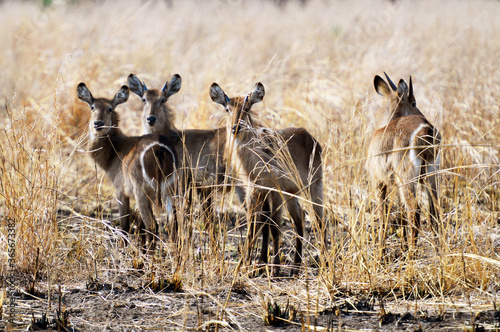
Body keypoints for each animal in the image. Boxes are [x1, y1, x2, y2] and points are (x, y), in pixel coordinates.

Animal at [77, 82, 179, 249]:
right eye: (92, 107)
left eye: (110, 108)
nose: (98, 123)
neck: (116, 150)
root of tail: (159, 148)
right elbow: (140, 227)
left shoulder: (120, 191)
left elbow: (124, 225)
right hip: (170, 191)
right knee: (173, 224)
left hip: (142, 191)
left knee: (153, 225)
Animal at [127, 73, 244, 233]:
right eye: (144, 99)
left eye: (163, 99)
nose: (151, 118)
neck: (171, 138)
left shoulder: (179, 185)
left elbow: (178, 219)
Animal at [208, 81, 322, 274]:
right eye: (227, 109)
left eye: (246, 108)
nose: (236, 128)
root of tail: (310, 136)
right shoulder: (254, 192)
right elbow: (254, 227)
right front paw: (248, 265)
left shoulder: (274, 191)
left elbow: (274, 227)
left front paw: (273, 268)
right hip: (292, 193)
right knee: (299, 220)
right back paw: (295, 267)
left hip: (314, 187)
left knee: (320, 221)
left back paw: (323, 261)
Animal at [368, 72, 442, 253]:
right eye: (413, 102)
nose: (423, 114)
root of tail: (426, 128)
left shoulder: (378, 181)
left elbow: (383, 215)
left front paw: (381, 252)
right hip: (429, 177)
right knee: (433, 209)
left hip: (408, 179)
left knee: (414, 210)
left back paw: (411, 255)